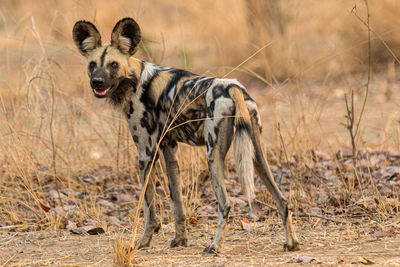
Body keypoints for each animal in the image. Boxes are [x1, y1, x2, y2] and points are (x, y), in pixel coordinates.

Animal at [72, 18, 298, 253]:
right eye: (92, 65)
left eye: (113, 65)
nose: (97, 82)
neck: (135, 81)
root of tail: (234, 87)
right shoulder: (169, 150)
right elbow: (176, 202)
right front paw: (179, 240)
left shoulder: (146, 155)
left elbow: (149, 209)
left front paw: (143, 242)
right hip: (257, 155)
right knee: (282, 200)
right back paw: (291, 243)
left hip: (213, 156)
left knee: (225, 204)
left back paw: (214, 247)